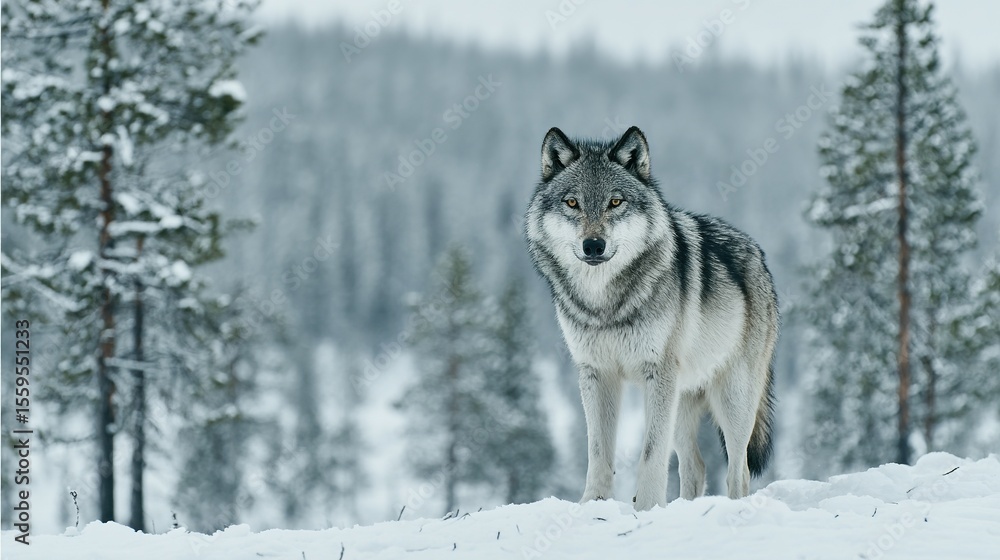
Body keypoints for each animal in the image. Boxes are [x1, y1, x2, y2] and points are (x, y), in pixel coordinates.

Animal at [524, 126, 778, 510]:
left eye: (615, 202)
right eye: (572, 203)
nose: (593, 245)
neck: (606, 305)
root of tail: (758, 255)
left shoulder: (656, 373)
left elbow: (650, 453)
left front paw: (645, 508)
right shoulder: (596, 374)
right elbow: (597, 451)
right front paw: (592, 506)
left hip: (730, 399)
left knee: (738, 470)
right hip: (682, 400)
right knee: (696, 466)